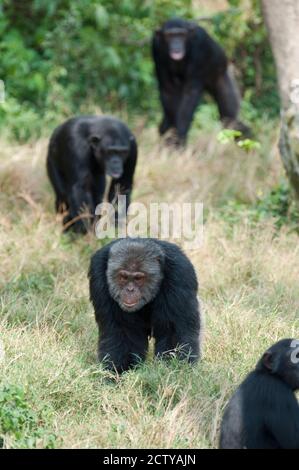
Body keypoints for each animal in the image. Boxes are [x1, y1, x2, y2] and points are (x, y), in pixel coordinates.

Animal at [89, 239, 202, 374]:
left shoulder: (180, 274)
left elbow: (173, 331)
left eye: (138, 278)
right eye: (123, 277)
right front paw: (118, 372)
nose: (130, 289)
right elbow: (121, 332)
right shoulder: (98, 275)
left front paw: (172, 370)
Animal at [152, 17, 248, 145]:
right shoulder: (156, 47)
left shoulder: (200, 45)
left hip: (223, 76)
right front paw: (171, 134)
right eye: (170, 35)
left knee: (229, 118)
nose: (176, 43)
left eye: (181, 35)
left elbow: (190, 94)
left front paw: (178, 138)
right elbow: (168, 89)